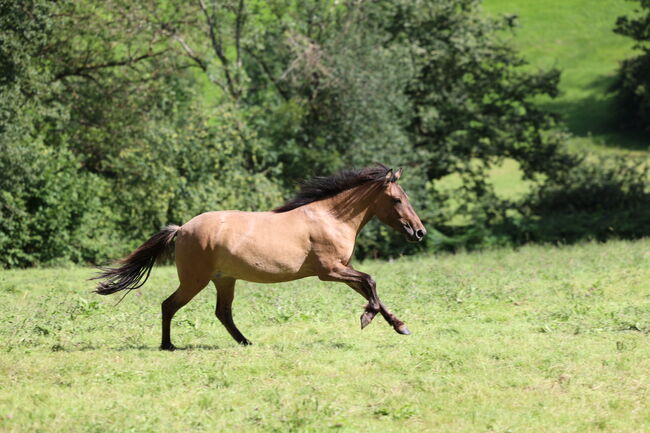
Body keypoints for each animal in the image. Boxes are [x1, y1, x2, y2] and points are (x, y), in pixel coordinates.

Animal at [92, 164, 426, 350]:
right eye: (397, 200)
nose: (419, 232)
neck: (330, 217)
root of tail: (182, 228)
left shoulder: (343, 268)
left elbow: (371, 290)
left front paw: (399, 325)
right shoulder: (330, 270)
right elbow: (371, 282)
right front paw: (367, 318)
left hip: (224, 280)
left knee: (222, 313)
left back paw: (245, 342)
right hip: (195, 280)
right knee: (169, 305)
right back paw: (168, 346)